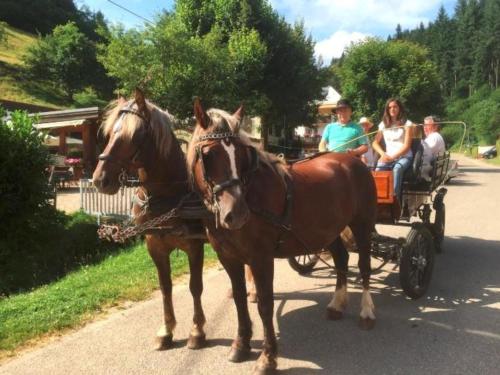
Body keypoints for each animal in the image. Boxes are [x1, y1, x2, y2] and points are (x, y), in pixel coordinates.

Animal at [93, 91, 208, 352]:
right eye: (110, 132)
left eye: (136, 134)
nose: (100, 180)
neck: (168, 195)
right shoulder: (155, 246)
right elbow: (165, 287)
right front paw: (166, 330)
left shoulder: (195, 246)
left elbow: (195, 286)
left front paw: (197, 330)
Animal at [188, 100, 378, 375]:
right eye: (208, 155)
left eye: (242, 155)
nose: (237, 214)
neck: (251, 193)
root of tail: (352, 160)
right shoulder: (229, 258)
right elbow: (239, 299)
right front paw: (241, 345)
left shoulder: (261, 258)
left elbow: (265, 304)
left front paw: (268, 358)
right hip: (329, 230)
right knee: (342, 259)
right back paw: (337, 304)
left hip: (362, 224)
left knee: (364, 266)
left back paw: (366, 312)